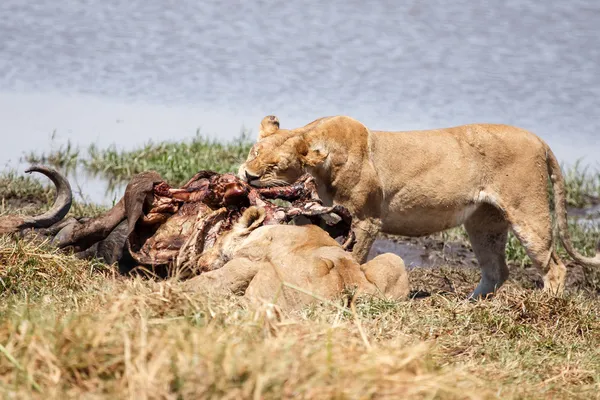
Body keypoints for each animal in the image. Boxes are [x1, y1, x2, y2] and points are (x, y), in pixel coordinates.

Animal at [183, 206, 408, 310]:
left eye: (219, 237)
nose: (200, 260)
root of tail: (349, 290)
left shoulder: (248, 260)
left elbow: (212, 280)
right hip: (394, 259)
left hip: (273, 273)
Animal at [239, 115, 600, 296]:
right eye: (254, 151)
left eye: (275, 165)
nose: (248, 175)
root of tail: (538, 139)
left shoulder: (367, 220)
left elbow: (354, 257)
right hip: (484, 222)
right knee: (497, 269)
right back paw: (469, 305)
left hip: (528, 211)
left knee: (555, 266)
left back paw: (546, 305)